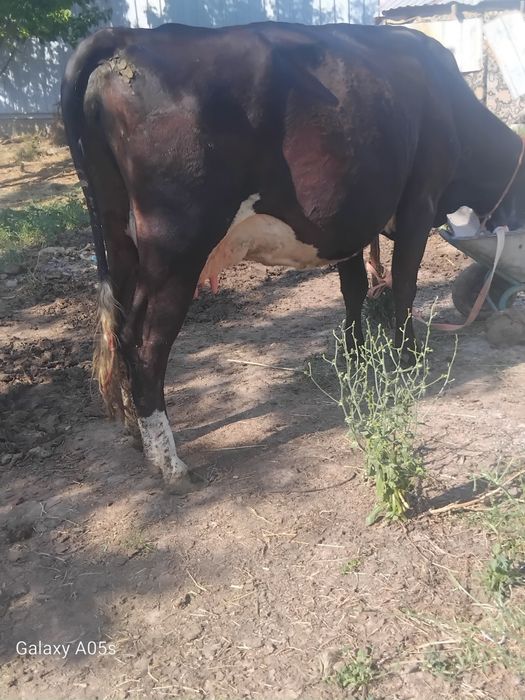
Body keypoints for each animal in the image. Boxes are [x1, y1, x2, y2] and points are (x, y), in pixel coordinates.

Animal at [61, 22, 525, 491]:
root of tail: (127, 36)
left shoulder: (350, 220)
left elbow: (354, 287)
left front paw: (355, 354)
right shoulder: (420, 202)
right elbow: (404, 285)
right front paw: (409, 357)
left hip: (122, 240)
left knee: (122, 330)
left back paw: (137, 436)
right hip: (176, 245)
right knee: (148, 344)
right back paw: (169, 462)